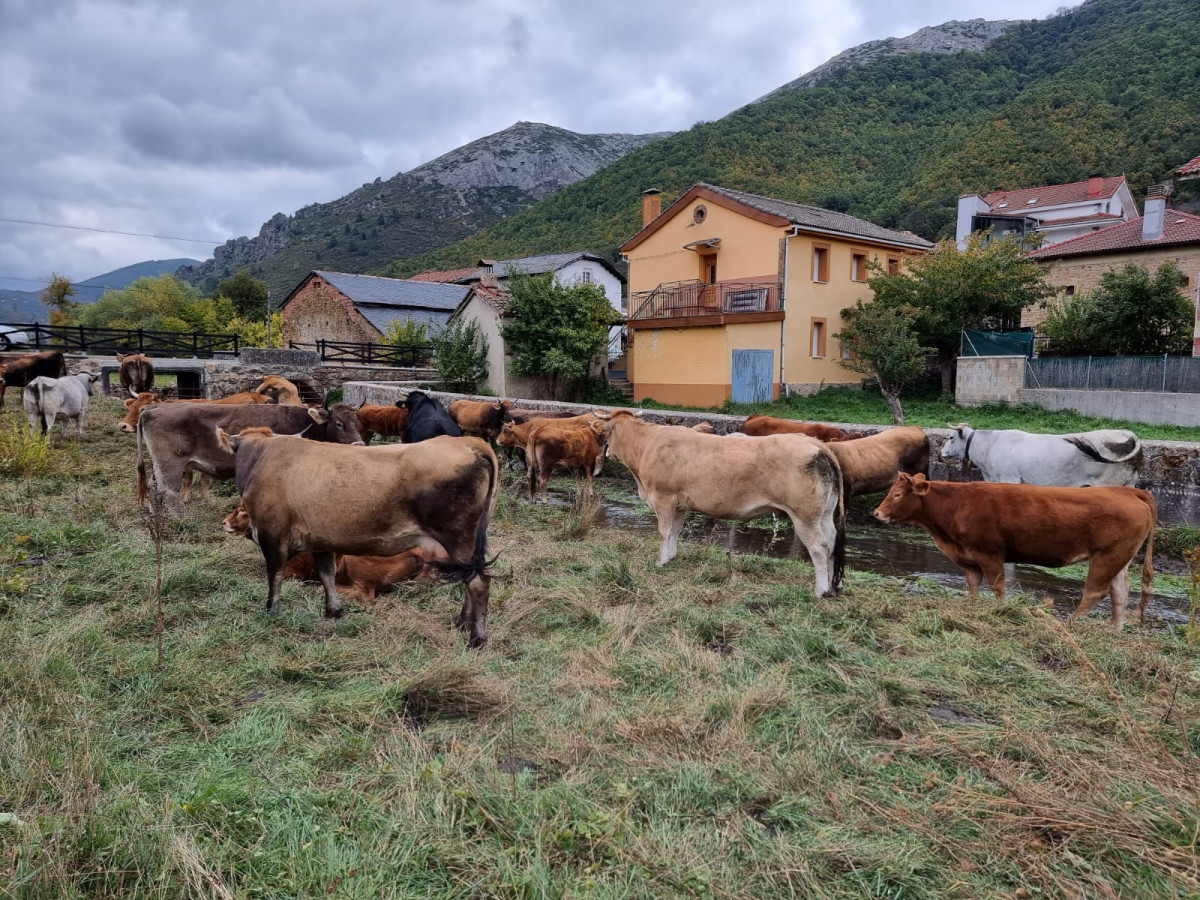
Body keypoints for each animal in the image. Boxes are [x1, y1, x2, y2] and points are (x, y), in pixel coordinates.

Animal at [216, 427, 496, 643]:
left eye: (241, 509)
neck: (263, 457)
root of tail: (467, 442)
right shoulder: (321, 539)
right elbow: (326, 573)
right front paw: (333, 611)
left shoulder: (272, 535)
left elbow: (275, 576)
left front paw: (272, 611)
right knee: (470, 578)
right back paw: (462, 623)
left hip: (458, 537)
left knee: (478, 581)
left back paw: (476, 637)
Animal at [597, 415, 844, 600]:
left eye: (607, 435)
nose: (606, 453)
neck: (648, 444)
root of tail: (814, 443)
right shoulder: (680, 504)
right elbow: (675, 532)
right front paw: (671, 557)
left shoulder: (663, 499)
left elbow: (664, 532)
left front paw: (660, 562)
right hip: (825, 514)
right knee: (832, 542)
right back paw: (834, 586)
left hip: (805, 516)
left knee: (819, 547)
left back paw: (820, 590)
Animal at [868, 475, 1156, 628]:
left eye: (896, 495)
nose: (877, 513)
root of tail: (1129, 491)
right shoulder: (970, 559)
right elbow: (973, 586)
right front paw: (971, 608)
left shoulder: (989, 553)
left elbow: (997, 587)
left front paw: (1000, 612)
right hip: (1119, 558)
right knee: (1120, 593)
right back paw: (1114, 631)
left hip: (1107, 557)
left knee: (1095, 593)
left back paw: (1069, 624)